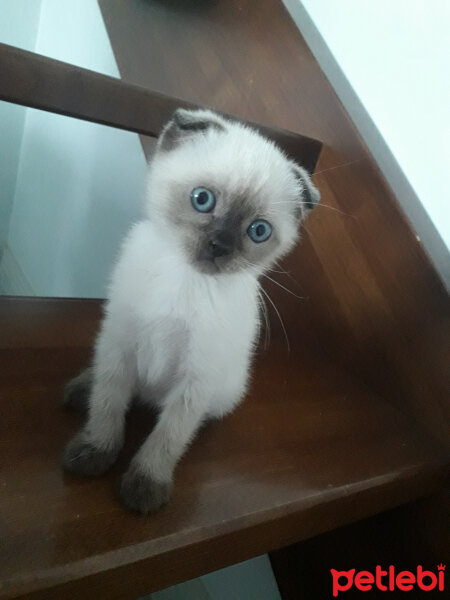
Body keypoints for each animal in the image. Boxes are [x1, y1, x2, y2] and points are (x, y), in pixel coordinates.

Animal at [62, 108, 320, 510]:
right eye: (202, 199)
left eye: (258, 231)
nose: (219, 246)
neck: (185, 281)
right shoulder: (121, 340)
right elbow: (108, 403)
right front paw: (95, 450)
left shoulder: (195, 378)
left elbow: (168, 436)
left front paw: (144, 487)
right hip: (111, 346)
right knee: (105, 380)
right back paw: (81, 390)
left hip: (221, 392)